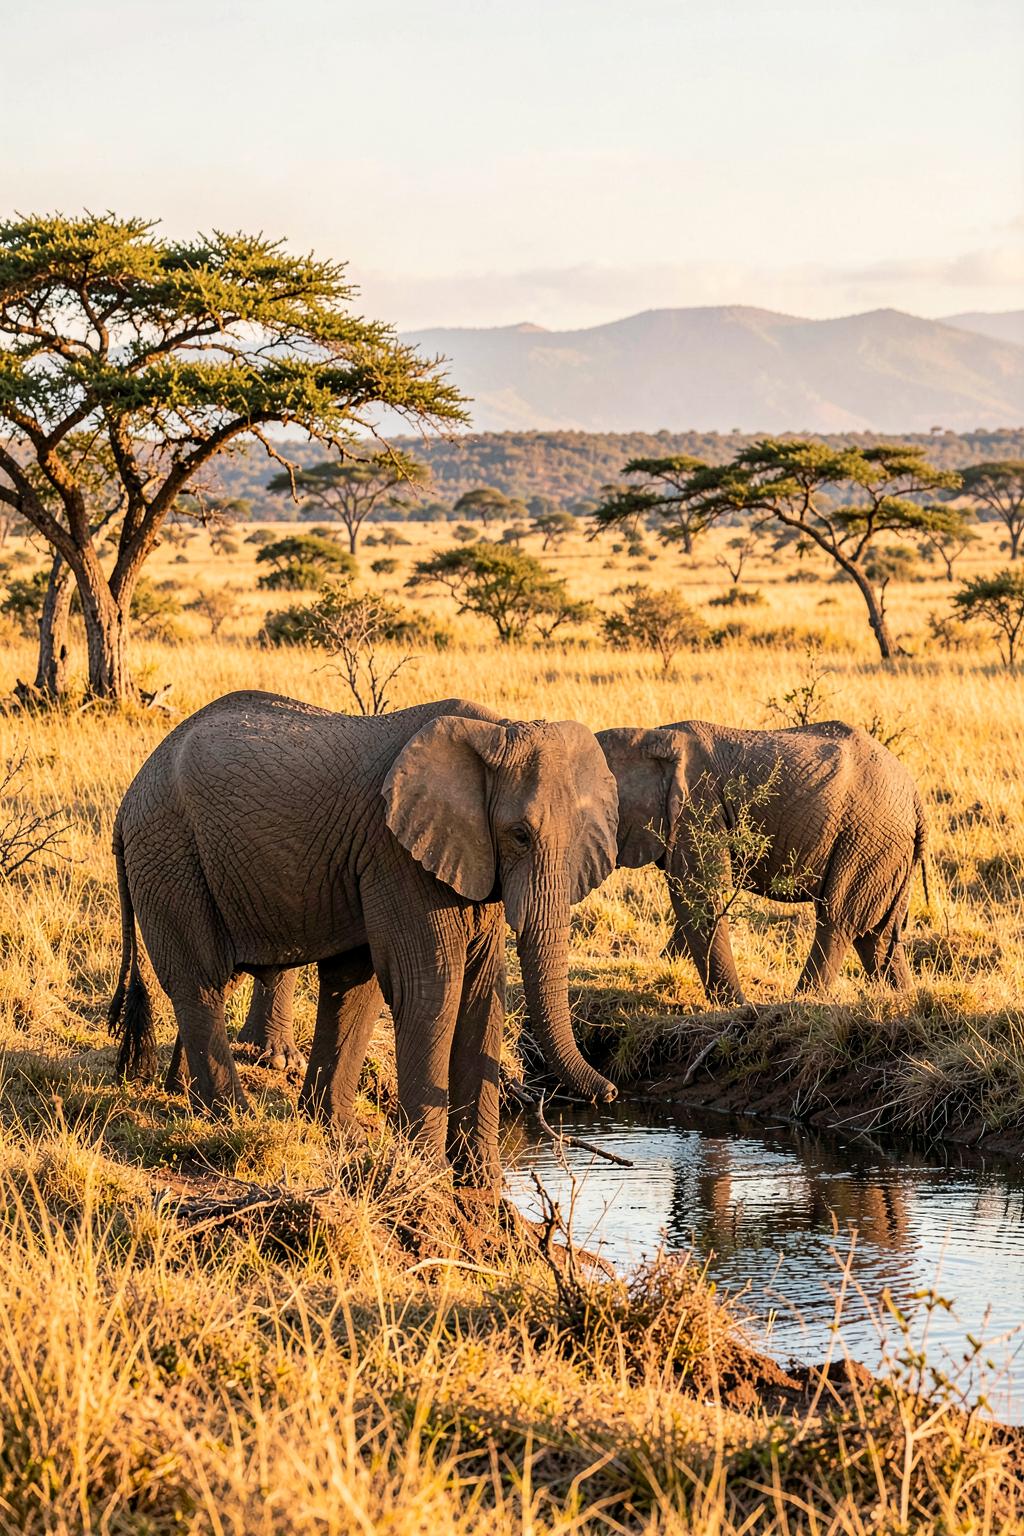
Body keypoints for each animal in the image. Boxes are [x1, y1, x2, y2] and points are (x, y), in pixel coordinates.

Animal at [109, 691, 619, 1183]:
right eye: (519, 835)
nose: (609, 1094)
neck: (496, 729)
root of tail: (131, 794)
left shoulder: (469, 860)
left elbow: (482, 991)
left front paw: (483, 1185)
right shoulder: (399, 854)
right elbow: (431, 988)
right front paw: (430, 1175)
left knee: (312, 985)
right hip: (169, 854)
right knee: (201, 982)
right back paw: (232, 1116)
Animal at [596, 719, 927, 1004]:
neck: (653, 736)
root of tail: (915, 796)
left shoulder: (698, 808)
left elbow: (699, 896)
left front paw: (734, 1005)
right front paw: (666, 967)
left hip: (867, 838)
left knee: (838, 921)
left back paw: (801, 1003)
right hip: (884, 849)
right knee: (876, 937)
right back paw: (903, 999)